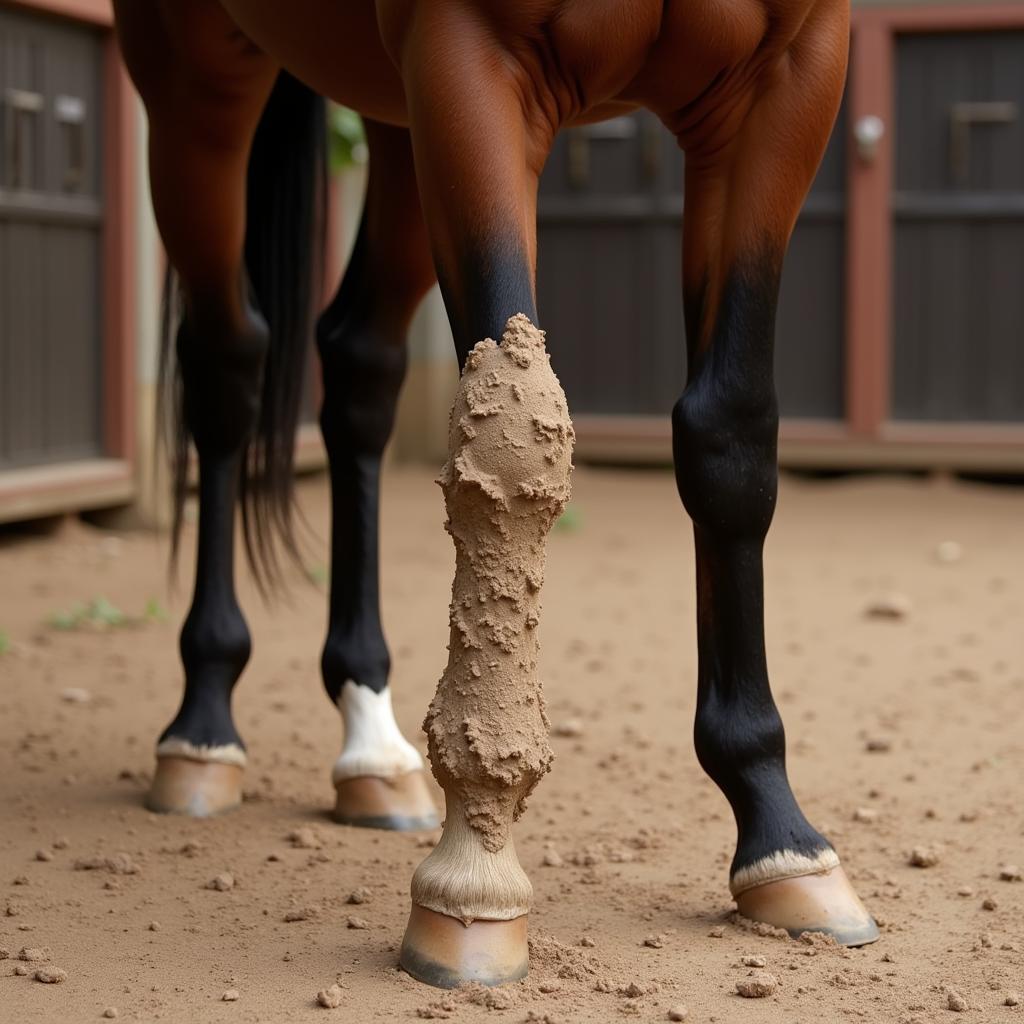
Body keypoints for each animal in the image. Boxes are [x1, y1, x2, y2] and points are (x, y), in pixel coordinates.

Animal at [114, 0, 880, 987]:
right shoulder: (468, 57)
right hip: (196, 74)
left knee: (358, 364)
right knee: (227, 366)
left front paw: (779, 832)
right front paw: (473, 873)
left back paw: (372, 742)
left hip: (392, 123)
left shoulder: (787, 79)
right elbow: (513, 430)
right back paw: (204, 724)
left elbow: (733, 433)